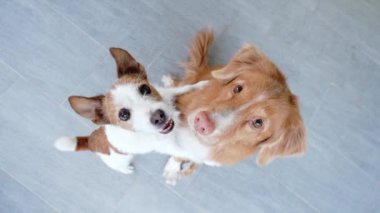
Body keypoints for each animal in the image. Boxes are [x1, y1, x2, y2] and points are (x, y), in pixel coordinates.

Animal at [54, 47, 208, 175]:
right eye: (123, 115)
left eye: (145, 89)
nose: (159, 116)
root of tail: (90, 141)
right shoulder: (167, 146)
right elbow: (187, 152)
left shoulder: (165, 93)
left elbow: (183, 88)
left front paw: (201, 85)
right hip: (120, 160)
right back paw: (127, 170)